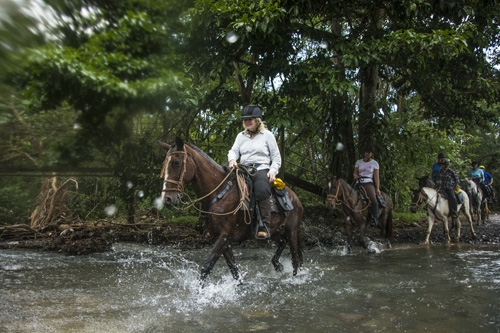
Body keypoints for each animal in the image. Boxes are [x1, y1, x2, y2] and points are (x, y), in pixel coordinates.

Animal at [158, 136, 302, 284]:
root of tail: (295, 197)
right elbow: (234, 269)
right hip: (273, 231)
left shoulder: (224, 235)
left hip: (292, 230)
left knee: (295, 259)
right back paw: (277, 264)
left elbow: (207, 267)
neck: (220, 193)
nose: (167, 199)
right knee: (282, 241)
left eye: (176, 162)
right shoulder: (221, 238)